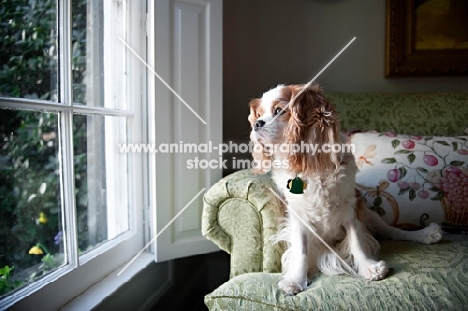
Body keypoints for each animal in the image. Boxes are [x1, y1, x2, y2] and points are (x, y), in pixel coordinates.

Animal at [247, 84, 444, 296]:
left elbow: (356, 241)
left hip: (368, 211)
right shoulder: (297, 215)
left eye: (279, 111)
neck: (310, 167)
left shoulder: (350, 208)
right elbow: (301, 250)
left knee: (392, 231)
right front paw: (296, 279)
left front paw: (368, 268)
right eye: (258, 114)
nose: (256, 124)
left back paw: (426, 234)